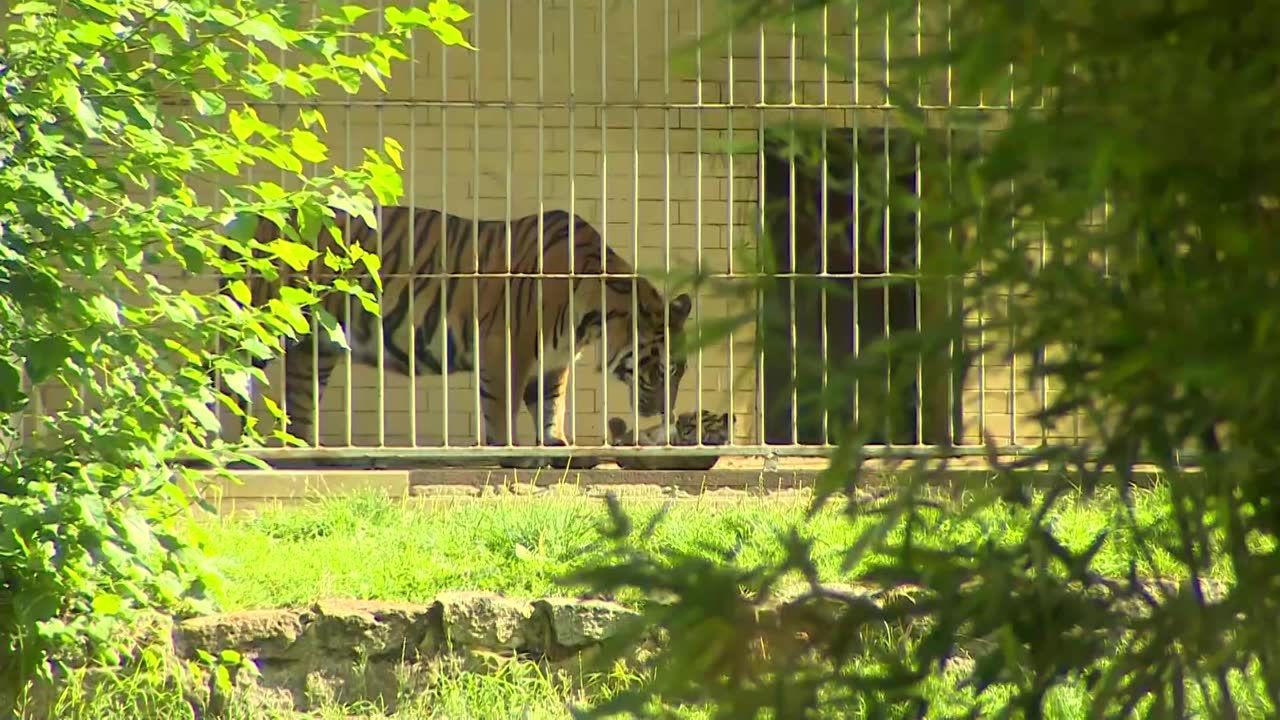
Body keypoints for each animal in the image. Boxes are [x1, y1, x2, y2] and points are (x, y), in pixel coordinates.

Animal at [215, 204, 696, 468]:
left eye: (680, 370)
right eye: (663, 367)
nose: (663, 413)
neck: (594, 317)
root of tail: (239, 220)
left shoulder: (553, 362)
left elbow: (550, 407)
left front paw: (557, 446)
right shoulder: (506, 348)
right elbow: (500, 410)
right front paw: (514, 455)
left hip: (316, 344)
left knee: (299, 401)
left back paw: (313, 453)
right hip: (258, 325)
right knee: (226, 381)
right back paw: (227, 449)